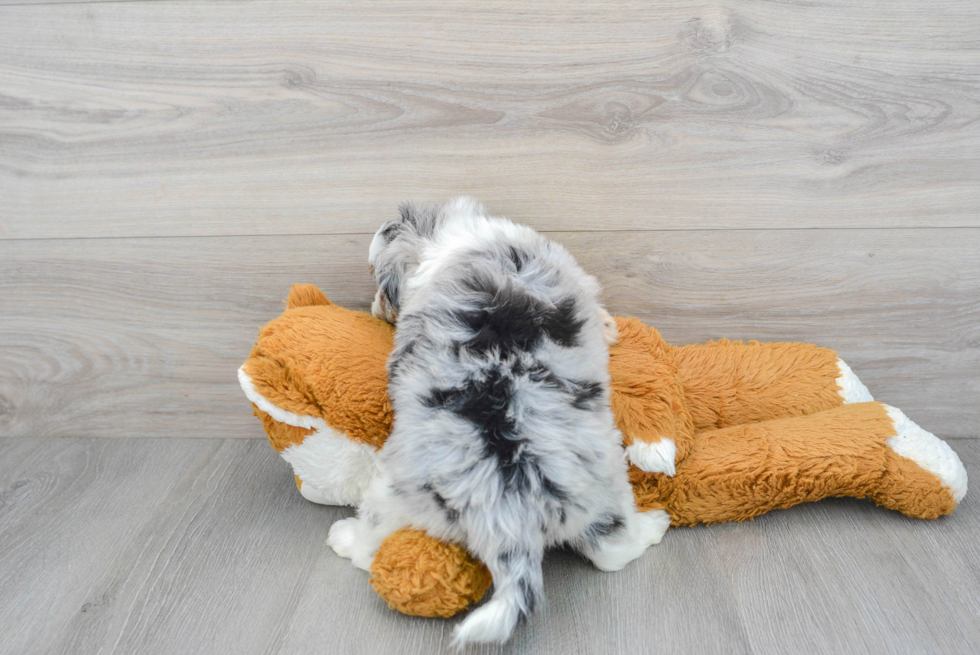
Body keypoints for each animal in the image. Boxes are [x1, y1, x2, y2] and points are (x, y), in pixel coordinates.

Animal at [326, 196, 668, 644]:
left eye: (377, 279)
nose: (372, 307)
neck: (444, 237)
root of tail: (505, 502)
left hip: (396, 493)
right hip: (604, 491)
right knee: (614, 551)